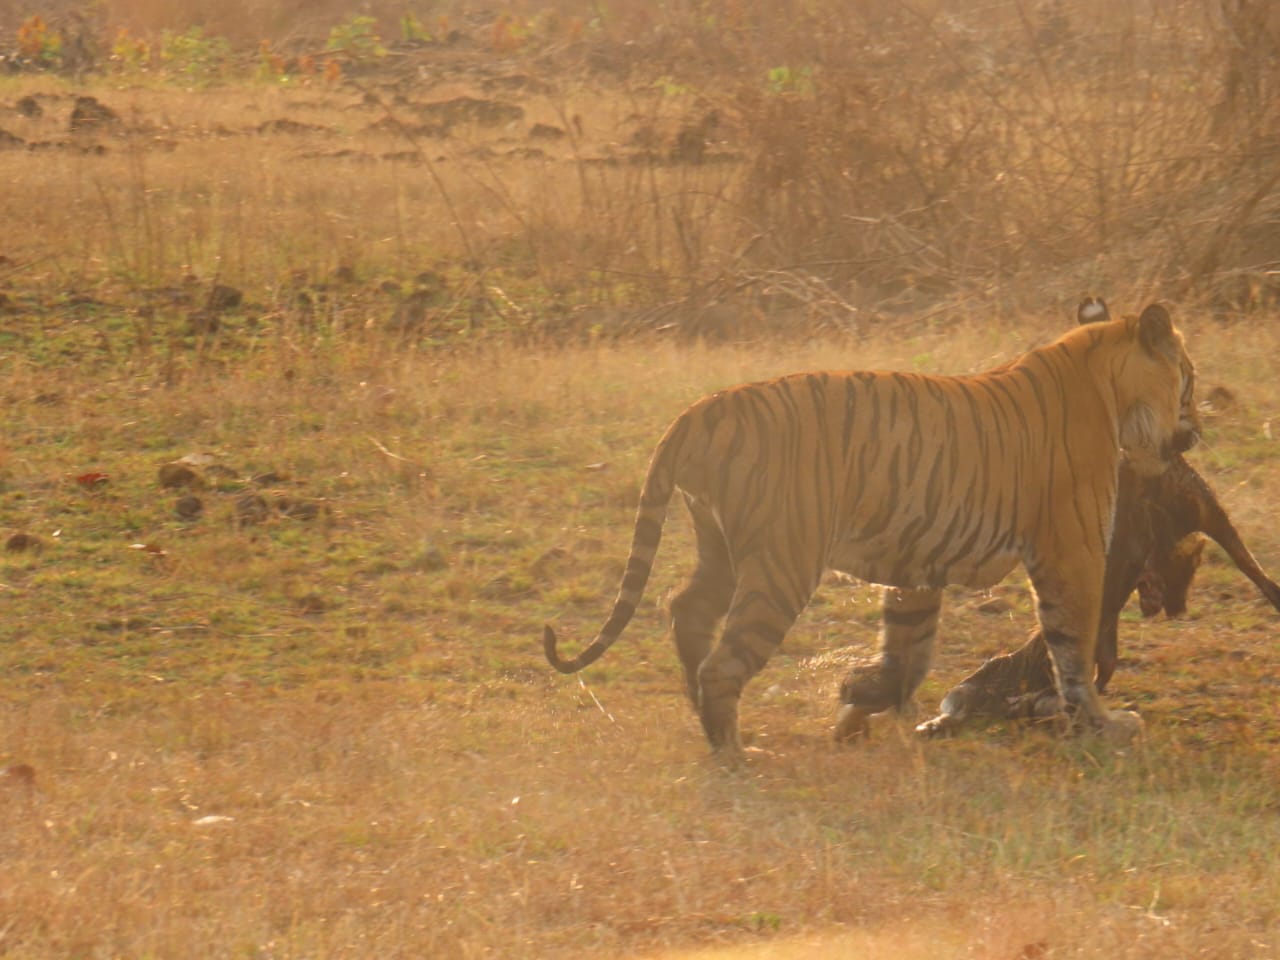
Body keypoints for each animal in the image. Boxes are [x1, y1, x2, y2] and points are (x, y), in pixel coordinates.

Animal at [540, 302, 1198, 757]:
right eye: (1188, 378)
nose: (1195, 430)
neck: (1103, 378)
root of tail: (700, 409)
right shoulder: (1073, 552)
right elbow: (1073, 647)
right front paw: (1105, 724)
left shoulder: (917, 561)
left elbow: (908, 646)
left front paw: (866, 703)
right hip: (782, 561)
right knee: (723, 662)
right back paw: (736, 751)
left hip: (719, 545)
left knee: (687, 609)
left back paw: (699, 714)